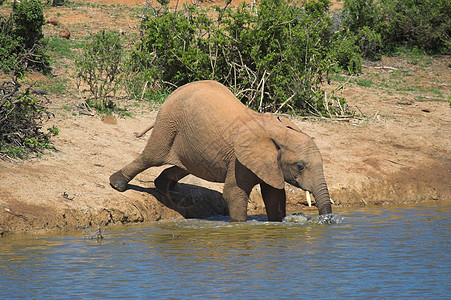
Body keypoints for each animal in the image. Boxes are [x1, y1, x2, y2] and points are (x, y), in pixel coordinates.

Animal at [111, 79, 334, 220]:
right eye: (300, 167)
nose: (327, 221)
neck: (280, 132)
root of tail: (177, 90)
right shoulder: (239, 160)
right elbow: (234, 194)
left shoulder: (270, 165)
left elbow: (275, 197)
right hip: (168, 123)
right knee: (151, 157)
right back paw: (117, 184)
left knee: (183, 166)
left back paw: (164, 187)